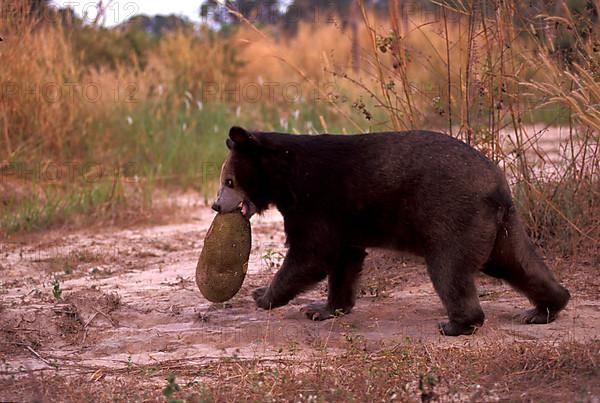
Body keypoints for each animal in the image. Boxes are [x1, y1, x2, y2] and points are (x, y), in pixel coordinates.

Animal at [213, 128, 568, 336]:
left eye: (228, 180)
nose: (216, 205)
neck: (285, 175)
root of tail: (498, 186)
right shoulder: (344, 218)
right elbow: (344, 258)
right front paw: (324, 309)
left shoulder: (315, 200)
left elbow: (311, 252)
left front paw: (263, 296)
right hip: (500, 228)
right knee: (517, 262)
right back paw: (544, 308)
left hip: (452, 218)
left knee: (449, 271)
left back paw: (456, 324)